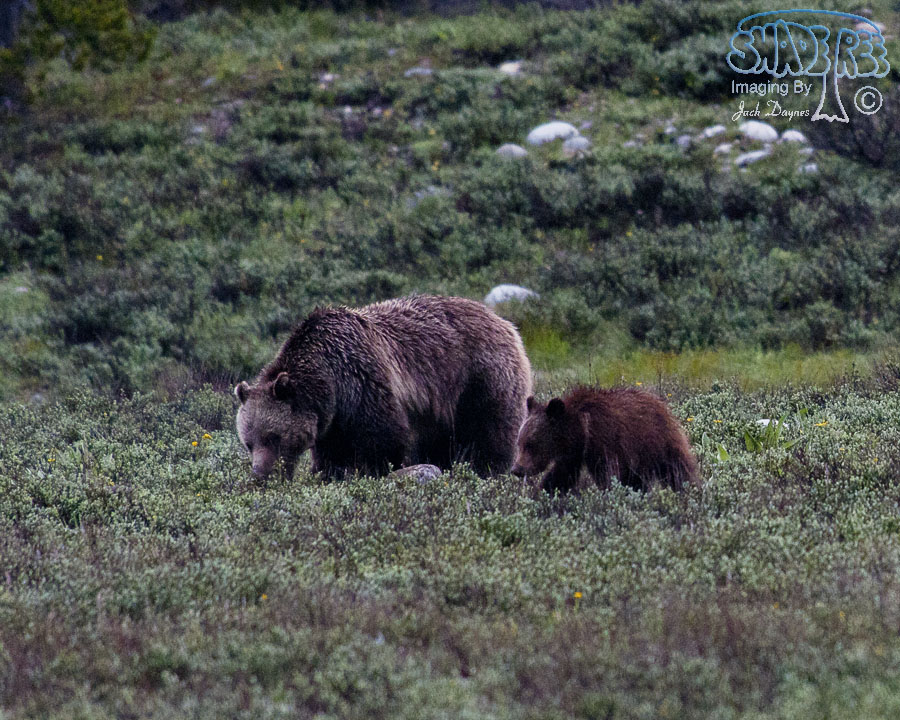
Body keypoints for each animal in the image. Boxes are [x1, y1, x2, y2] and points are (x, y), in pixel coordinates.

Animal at [234, 295, 532, 481]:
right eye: (248, 442)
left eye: (274, 436)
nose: (260, 475)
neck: (328, 381)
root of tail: (506, 323)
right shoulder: (331, 421)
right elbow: (330, 454)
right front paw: (327, 475)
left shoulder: (362, 381)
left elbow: (382, 439)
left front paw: (375, 471)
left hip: (480, 379)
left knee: (490, 432)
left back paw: (488, 469)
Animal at [510, 386, 699, 494]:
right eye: (519, 443)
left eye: (531, 444)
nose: (516, 469)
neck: (581, 432)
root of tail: (661, 403)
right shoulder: (573, 455)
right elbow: (561, 476)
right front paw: (544, 493)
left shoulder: (604, 442)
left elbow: (608, 475)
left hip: (659, 441)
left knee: (677, 469)